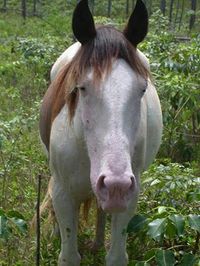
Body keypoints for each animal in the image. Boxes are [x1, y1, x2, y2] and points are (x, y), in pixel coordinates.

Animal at [39, 0, 162, 266]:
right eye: (82, 88)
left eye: (142, 89)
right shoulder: (63, 193)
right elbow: (68, 256)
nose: (117, 185)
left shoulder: (130, 196)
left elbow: (116, 256)